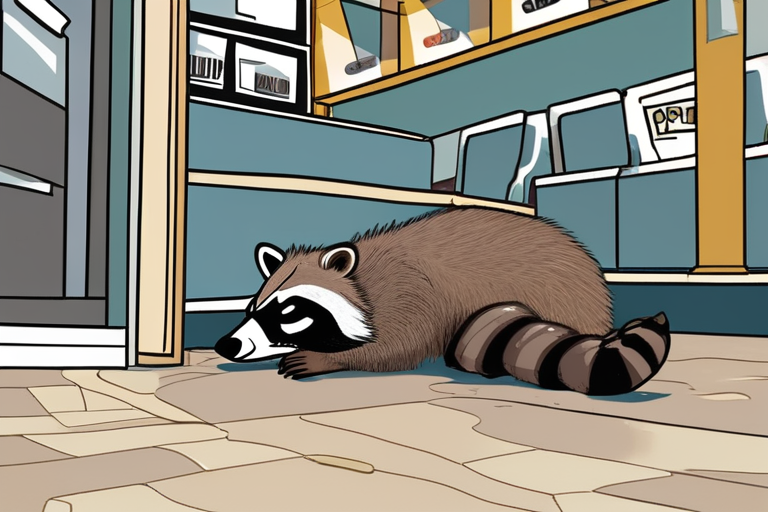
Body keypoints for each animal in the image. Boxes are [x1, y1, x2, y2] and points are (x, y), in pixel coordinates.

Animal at [215, 206, 671, 395]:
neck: (362, 279)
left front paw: (325, 357)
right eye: (252, 309)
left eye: (289, 312)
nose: (226, 345)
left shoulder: (410, 293)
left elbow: (398, 347)